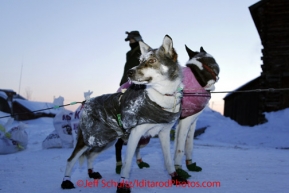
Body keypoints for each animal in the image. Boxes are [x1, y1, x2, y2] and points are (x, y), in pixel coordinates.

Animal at [60, 35, 186, 191]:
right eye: (140, 61)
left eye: (152, 61)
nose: (129, 72)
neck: (161, 97)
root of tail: (87, 101)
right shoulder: (135, 134)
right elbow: (126, 163)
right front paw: (122, 185)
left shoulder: (164, 133)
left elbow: (168, 160)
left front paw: (175, 177)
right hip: (87, 139)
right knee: (71, 159)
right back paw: (66, 181)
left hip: (105, 140)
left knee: (90, 155)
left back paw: (92, 173)